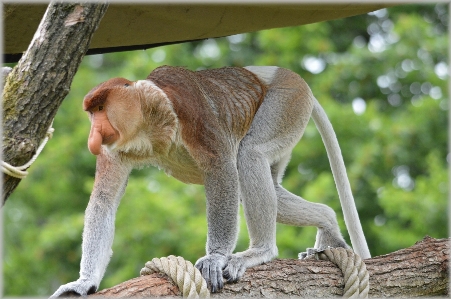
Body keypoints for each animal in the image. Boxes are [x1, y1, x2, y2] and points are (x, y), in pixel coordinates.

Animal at [52, 65, 370, 298]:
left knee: (249, 155)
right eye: (92, 112)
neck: (150, 123)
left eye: (101, 109)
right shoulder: (116, 148)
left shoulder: (189, 105)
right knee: (272, 188)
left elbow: (222, 168)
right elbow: (104, 202)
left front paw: (215, 258)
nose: (93, 136)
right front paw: (83, 283)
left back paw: (260, 252)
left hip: (288, 100)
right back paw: (328, 226)